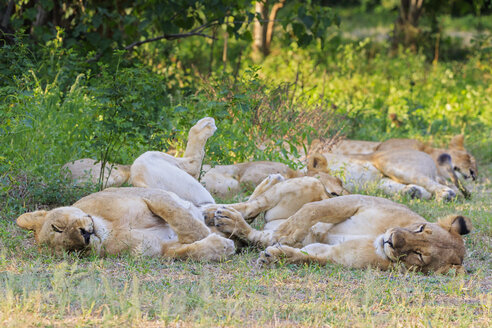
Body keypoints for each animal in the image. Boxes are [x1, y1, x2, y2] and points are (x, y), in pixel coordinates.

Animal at [206, 176, 470, 272]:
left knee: (254, 231)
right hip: (308, 183)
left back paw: (228, 222)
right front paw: (289, 233)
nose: (392, 240)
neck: (375, 237)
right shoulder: (356, 201)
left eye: (420, 255)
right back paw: (214, 212)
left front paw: (277, 255)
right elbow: (313, 210)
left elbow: (308, 255)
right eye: (421, 228)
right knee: (254, 204)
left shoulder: (336, 255)